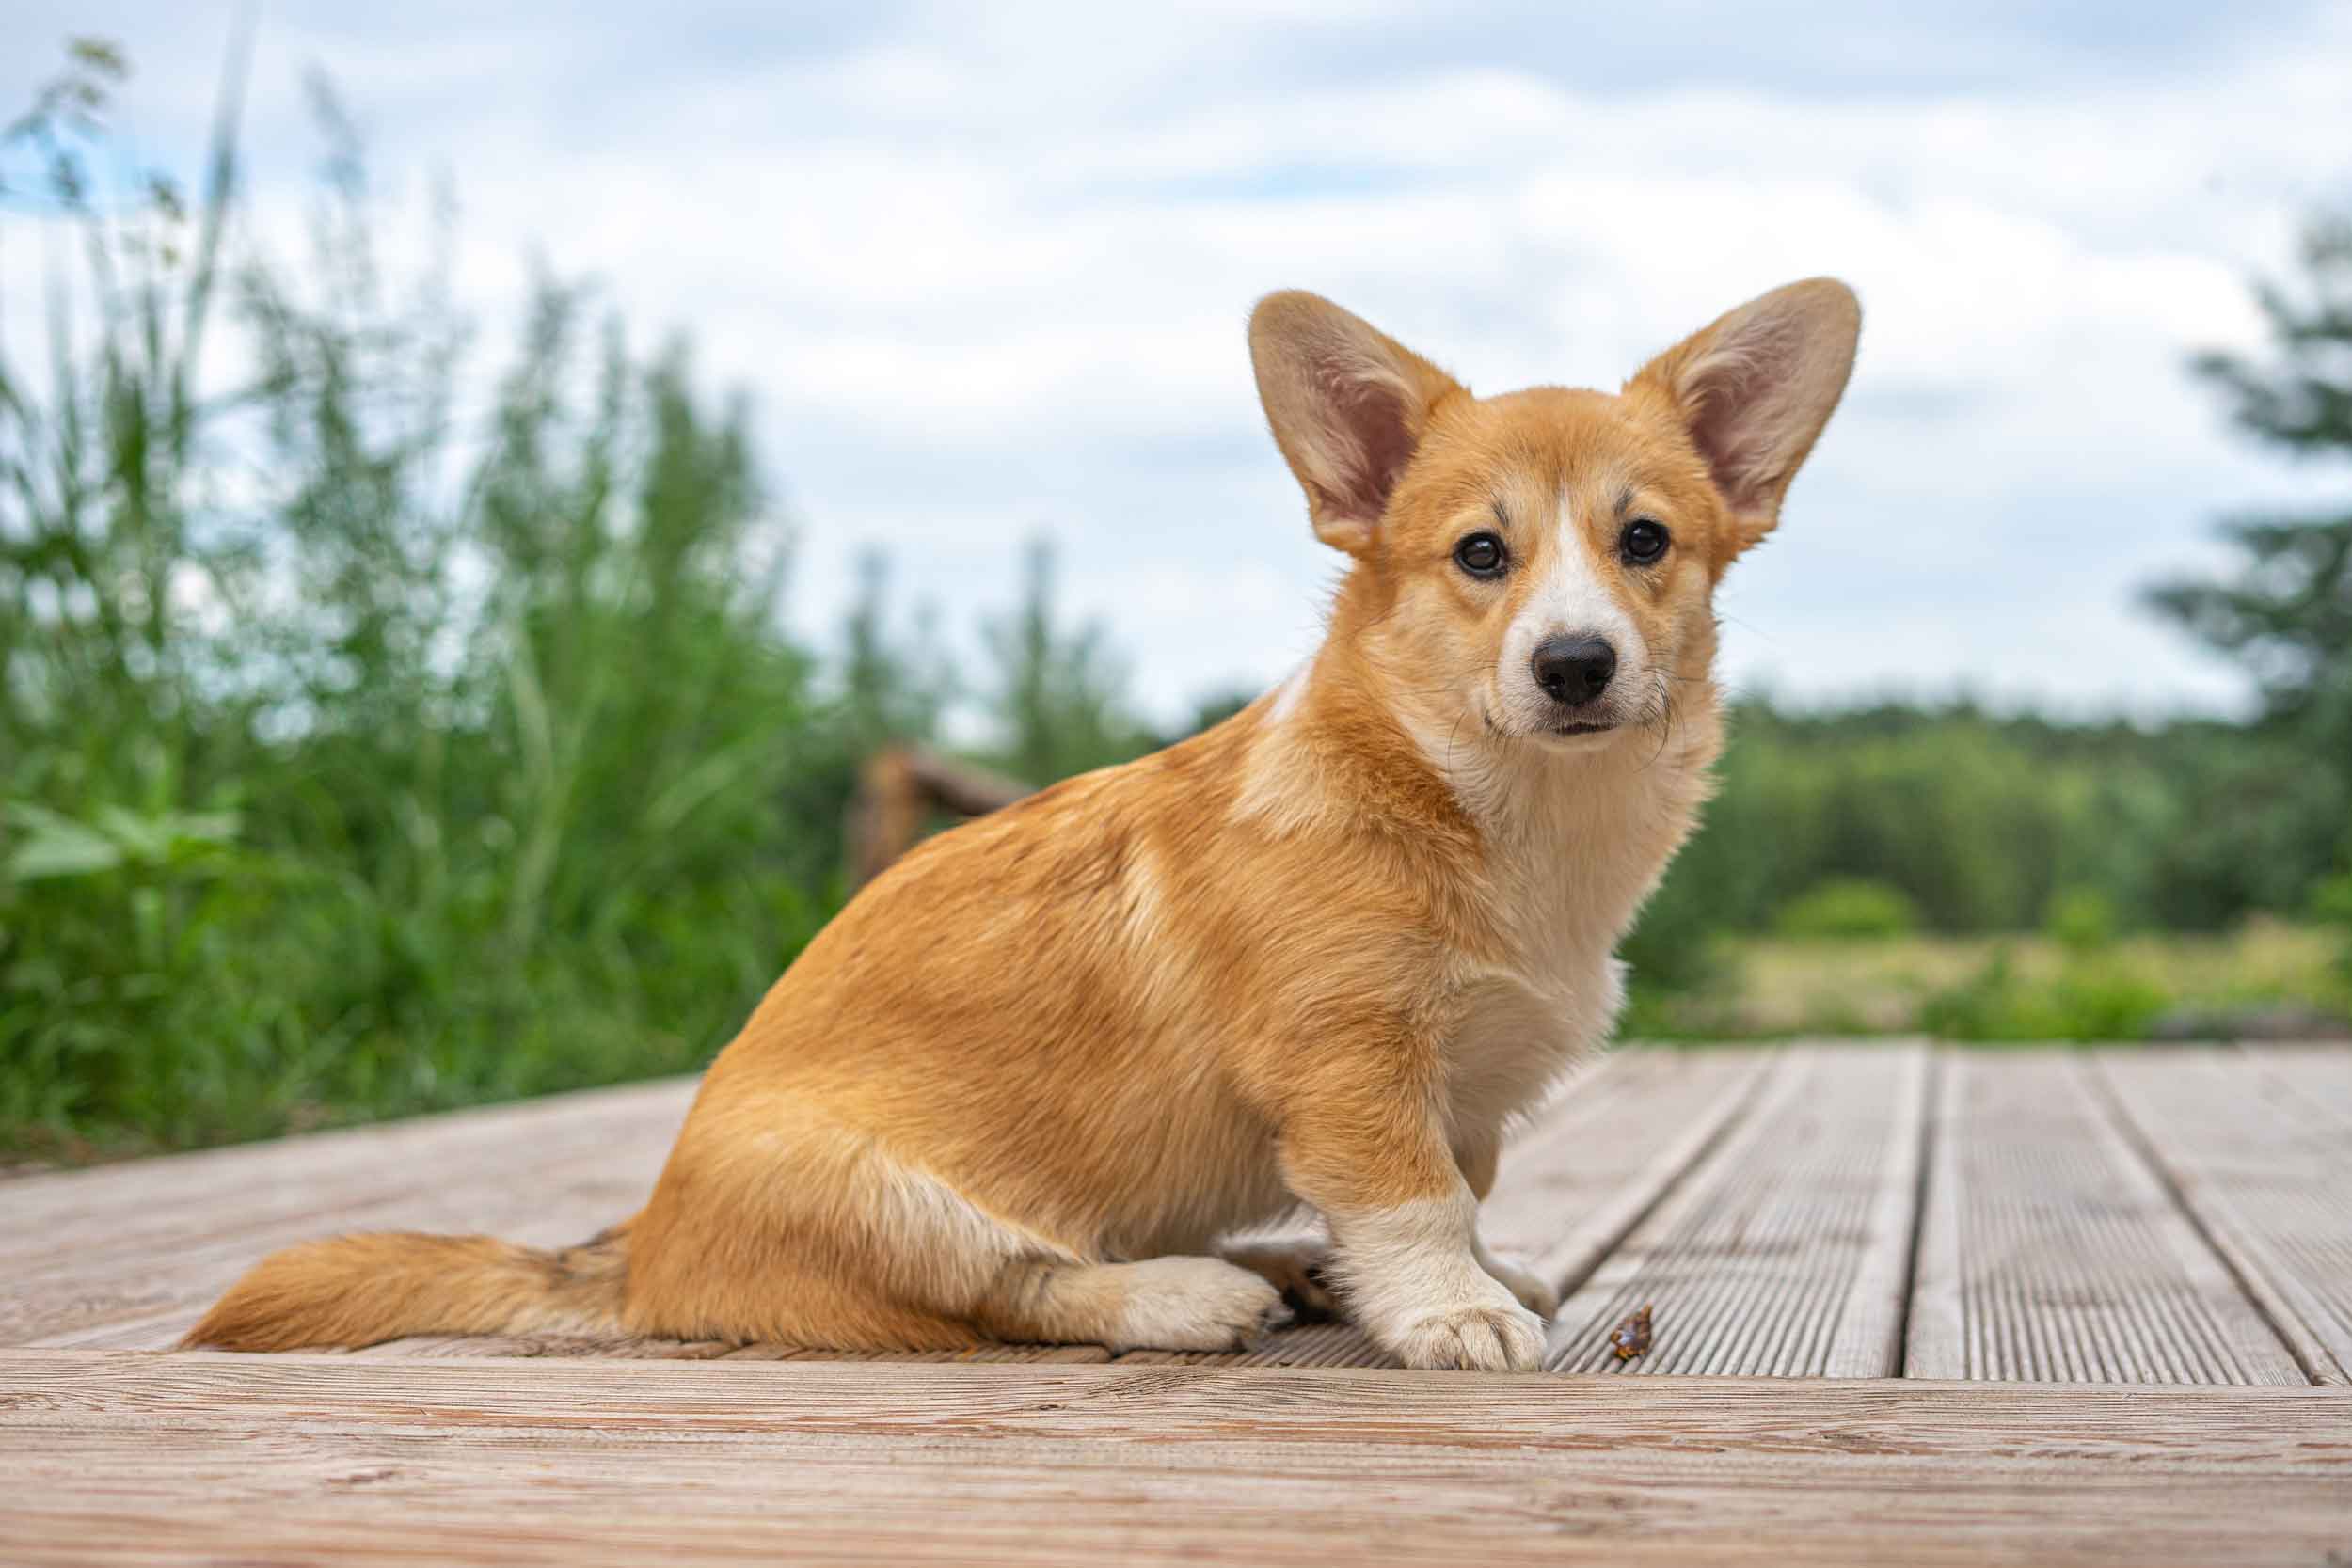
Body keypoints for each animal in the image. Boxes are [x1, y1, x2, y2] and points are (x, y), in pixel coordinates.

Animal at [193, 278, 1853, 1372]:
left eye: (1644, 540)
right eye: (1481, 556)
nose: (1575, 664)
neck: (1505, 811)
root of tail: (643, 1248)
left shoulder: (1470, 1087)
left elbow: (1459, 1187)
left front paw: (1456, 1273)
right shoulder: (1354, 1065)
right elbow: (1411, 1200)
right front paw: (1452, 1308)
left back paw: (1283, 1264)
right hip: (889, 1198)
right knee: (1019, 1285)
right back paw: (1191, 1294)